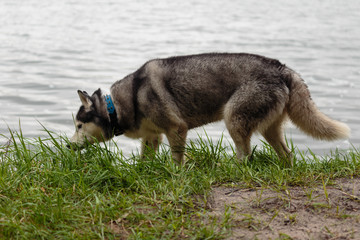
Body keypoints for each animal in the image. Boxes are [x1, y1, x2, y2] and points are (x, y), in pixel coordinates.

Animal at [69, 53, 350, 165]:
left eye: (79, 125)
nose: (69, 147)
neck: (117, 106)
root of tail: (282, 68)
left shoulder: (176, 129)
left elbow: (177, 160)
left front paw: (176, 175)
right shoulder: (152, 137)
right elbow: (143, 161)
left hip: (234, 118)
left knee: (246, 155)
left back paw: (233, 169)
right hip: (269, 129)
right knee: (287, 154)